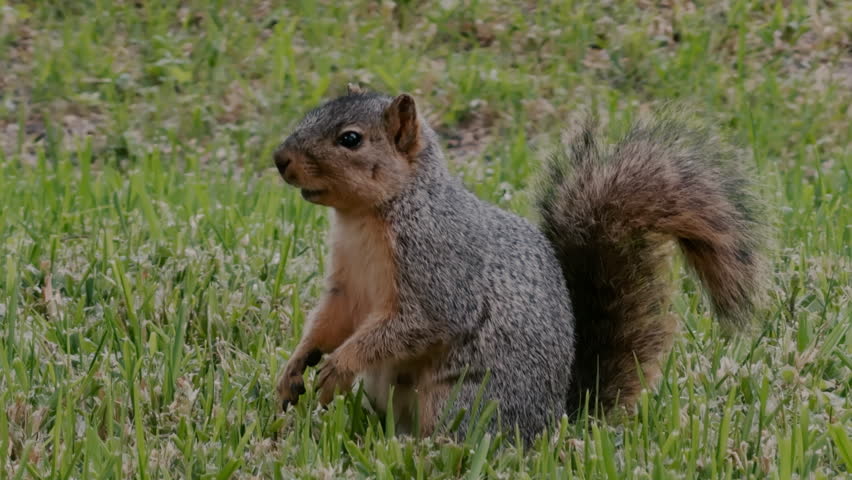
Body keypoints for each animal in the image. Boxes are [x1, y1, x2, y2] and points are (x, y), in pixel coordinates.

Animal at [273, 84, 768, 444]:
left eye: (350, 139)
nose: (280, 160)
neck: (367, 219)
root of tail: (555, 423)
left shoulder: (440, 268)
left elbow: (418, 322)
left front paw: (340, 366)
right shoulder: (346, 282)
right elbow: (330, 320)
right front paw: (296, 367)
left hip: (465, 397)